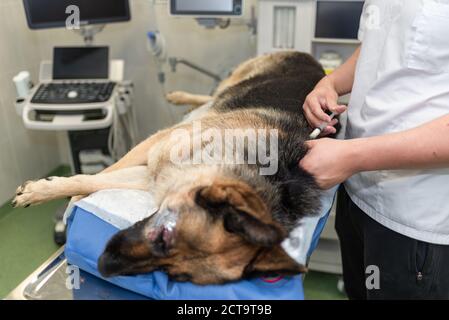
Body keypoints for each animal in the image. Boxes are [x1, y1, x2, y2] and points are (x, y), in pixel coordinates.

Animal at [11, 52, 326, 284]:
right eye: (163, 235)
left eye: (175, 275)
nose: (104, 266)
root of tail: (312, 58)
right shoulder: (152, 148)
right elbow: (94, 176)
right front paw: (50, 195)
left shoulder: (153, 176)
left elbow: (96, 180)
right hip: (237, 77)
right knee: (216, 92)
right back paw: (182, 97)